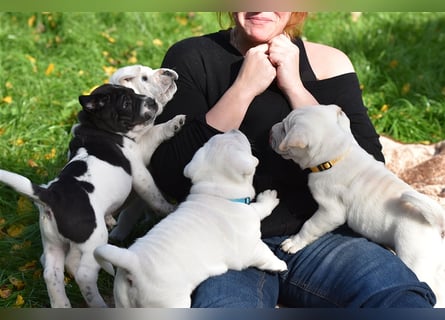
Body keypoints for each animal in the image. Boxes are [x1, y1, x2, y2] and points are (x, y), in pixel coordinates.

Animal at [0, 83, 184, 308]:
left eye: (133, 92)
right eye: (126, 103)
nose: (151, 101)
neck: (96, 128)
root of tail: (50, 195)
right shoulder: (140, 166)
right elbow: (154, 191)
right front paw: (174, 123)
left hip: (53, 244)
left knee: (52, 274)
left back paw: (62, 305)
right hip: (93, 240)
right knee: (84, 275)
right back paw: (98, 304)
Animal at [95, 130, 286, 308]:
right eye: (239, 141)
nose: (233, 129)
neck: (217, 194)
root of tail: (133, 264)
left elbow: (258, 208)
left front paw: (268, 198)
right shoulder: (249, 249)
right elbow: (265, 254)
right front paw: (280, 264)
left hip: (121, 299)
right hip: (170, 302)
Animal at [268, 105, 442, 308]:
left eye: (284, 129)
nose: (270, 130)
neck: (336, 156)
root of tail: (434, 224)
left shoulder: (330, 212)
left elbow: (309, 226)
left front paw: (293, 243)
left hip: (414, 258)